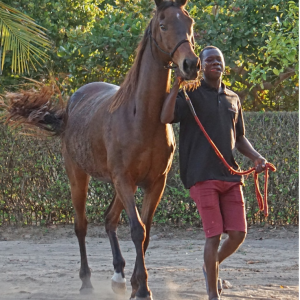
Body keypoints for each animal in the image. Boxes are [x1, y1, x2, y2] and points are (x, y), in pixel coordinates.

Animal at [4, 1, 199, 298]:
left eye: (189, 23)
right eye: (163, 25)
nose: (191, 64)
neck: (142, 117)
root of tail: (72, 104)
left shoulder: (155, 183)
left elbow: (145, 232)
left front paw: (137, 284)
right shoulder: (124, 180)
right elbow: (137, 230)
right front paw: (142, 289)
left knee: (109, 219)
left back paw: (119, 276)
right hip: (78, 176)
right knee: (81, 226)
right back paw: (86, 281)